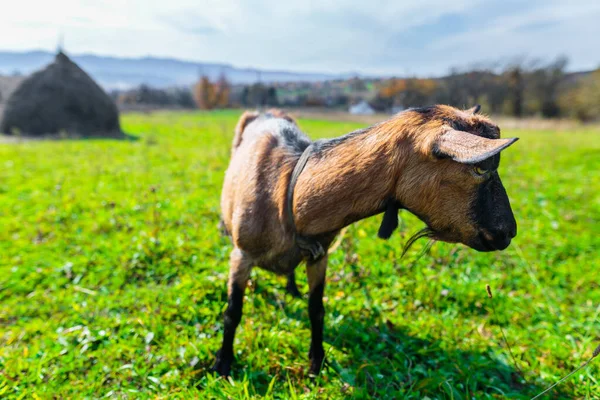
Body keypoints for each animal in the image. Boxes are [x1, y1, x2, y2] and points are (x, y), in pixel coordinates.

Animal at [213, 104, 516, 376]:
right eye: (481, 168)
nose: (509, 232)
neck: (288, 190)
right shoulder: (241, 255)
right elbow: (233, 312)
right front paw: (223, 365)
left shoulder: (319, 256)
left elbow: (316, 309)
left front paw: (316, 364)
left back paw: (292, 288)